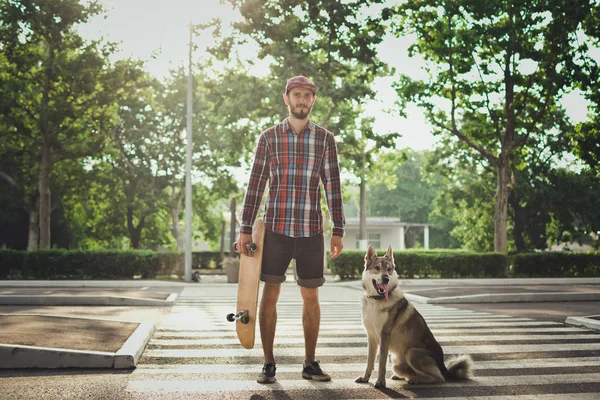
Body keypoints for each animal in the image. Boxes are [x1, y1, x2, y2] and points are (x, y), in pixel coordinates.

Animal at [354, 244, 472, 388]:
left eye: (389, 269)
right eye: (377, 268)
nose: (386, 279)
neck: (376, 300)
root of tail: (444, 367)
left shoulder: (384, 336)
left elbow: (381, 363)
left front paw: (380, 382)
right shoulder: (371, 337)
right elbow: (369, 362)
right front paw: (365, 378)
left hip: (412, 353)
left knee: (439, 378)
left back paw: (416, 380)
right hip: (396, 362)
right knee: (408, 372)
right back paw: (406, 377)